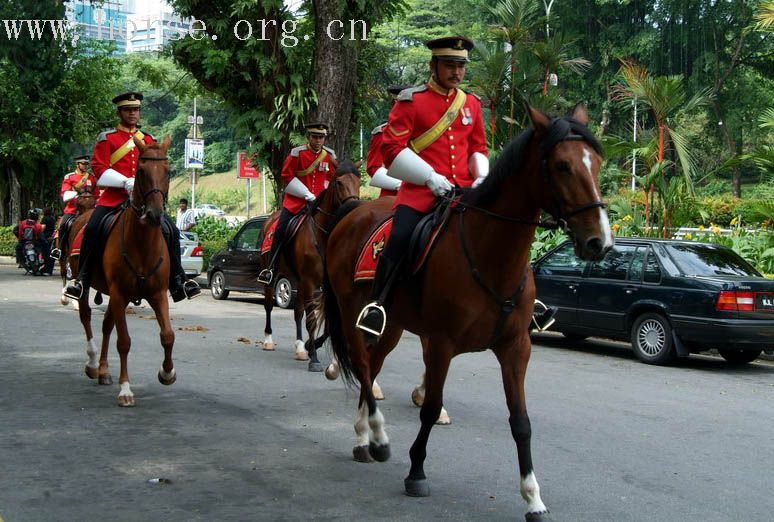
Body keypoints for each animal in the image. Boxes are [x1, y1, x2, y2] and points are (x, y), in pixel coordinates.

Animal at [70, 137, 177, 406]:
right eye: (140, 172)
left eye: (168, 171)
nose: (154, 215)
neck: (142, 243)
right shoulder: (119, 293)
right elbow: (125, 341)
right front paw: (126, 389)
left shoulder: (158, 294)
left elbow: (168, 335)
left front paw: (167, 372)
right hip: (87, 284)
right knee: (86, 315)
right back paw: (92, 363)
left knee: (107, 324)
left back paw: (104, 371)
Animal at [260, 158, 364, 370]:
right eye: (339, 182)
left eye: (358, 181)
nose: (353, 206)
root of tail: (270, 219)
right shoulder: (310, 281)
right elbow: (312, 321)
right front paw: (314, 357)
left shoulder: (327, 285)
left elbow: (331, 322)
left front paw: (311, 345)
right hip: (274, 275)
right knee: (268, 305)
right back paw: (268, 340)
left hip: (297, 279)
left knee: (298, 311)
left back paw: (300, 347)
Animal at [318, 104, 616, 516]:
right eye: (561, 166)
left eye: (597, 163)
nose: (599, 242)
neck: (491, 255)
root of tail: (350, 215)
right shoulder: (441, 343)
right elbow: (431, 408)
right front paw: (416, 472)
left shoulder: (515, 348)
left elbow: (521, 421)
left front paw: (533, 497)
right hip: (351, 312)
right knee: (362, 365)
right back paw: (377, 436)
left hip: (390, 323)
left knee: (372, 367)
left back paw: (364, 437)